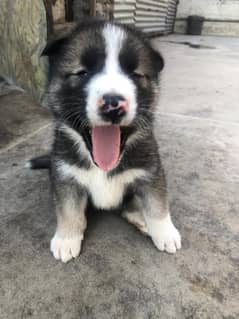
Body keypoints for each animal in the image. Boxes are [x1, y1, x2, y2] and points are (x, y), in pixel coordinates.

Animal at [31, 19, 181, 262]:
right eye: (82, 72)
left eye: (135, 75)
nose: (113, 104)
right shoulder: (65, 174)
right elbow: (68, 209)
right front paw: (67, 238)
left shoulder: (150, 171)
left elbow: (156, 204)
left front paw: (165, 232)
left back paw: (141, 218)